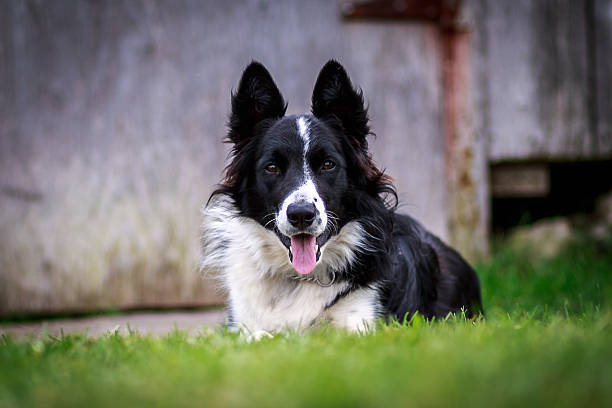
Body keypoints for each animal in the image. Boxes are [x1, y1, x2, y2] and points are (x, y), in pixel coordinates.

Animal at [201, 60, 482, 334]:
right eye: (272, 167)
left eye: (328, 165)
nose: (301, 215)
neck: (298, 277)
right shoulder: (242, 326)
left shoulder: (361, 325)